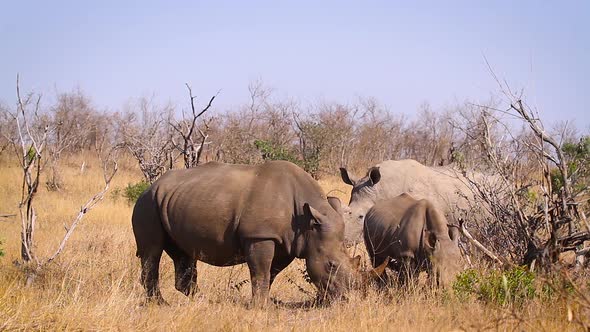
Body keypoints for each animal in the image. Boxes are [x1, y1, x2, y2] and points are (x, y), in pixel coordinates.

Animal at [133, 160, 360, 306]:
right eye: (331, 265)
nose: (345, 300)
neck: (306, 222)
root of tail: (151, 186)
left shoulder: (288, 243)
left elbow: (271, 273)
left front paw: (265, 302)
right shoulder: (259, 235)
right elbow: (260, 270)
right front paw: (260, 307)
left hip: (175, 201)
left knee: (183, 253)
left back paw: (202, 301)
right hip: (147, 203)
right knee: (152, 252)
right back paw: (160, 304)